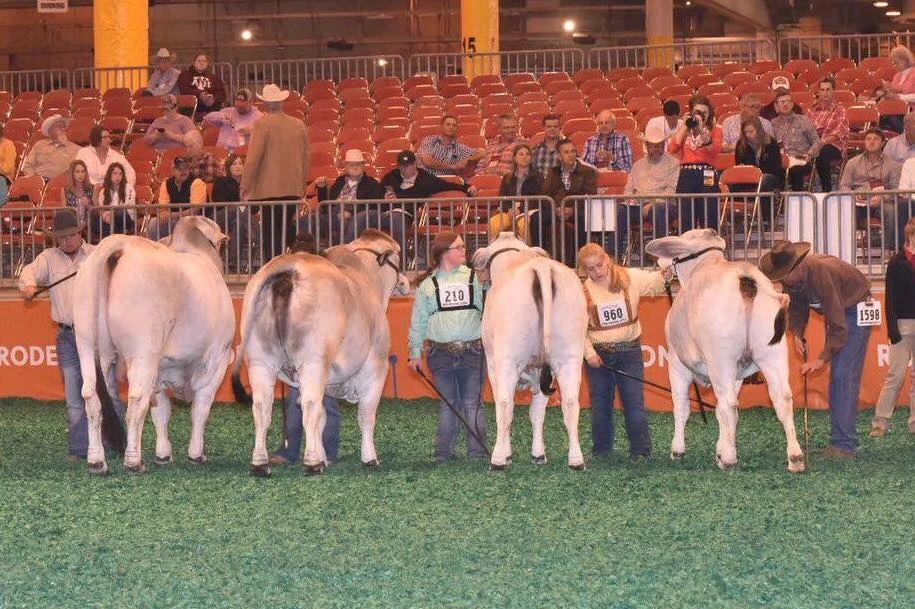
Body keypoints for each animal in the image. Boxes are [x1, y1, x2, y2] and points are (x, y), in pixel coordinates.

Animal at [73, 216, 235, 475]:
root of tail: (121, 244)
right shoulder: (218, 358)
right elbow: (201, 408)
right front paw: (196, 453)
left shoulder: (162, 368)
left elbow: (161, 411)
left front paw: (163, 454)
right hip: (143, 351)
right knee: (136, 402)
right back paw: (133, 461)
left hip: (87, 343)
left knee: (91, 398)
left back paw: (97, 461)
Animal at [231, 229, 410, 476]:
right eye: (399, 256)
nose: (405, 282)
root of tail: (290, 264)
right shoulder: (376, 367)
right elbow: (366, 415)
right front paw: (369, 458)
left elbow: (323, 419)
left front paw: (325, 456)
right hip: (314, 360)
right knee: (310, 406)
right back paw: (312, 463)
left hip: (260, 359)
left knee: (261, 407)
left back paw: (260, 464)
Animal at [471, 232, 588, 470]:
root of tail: (541, 267)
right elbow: (537, 413)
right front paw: (539, 454)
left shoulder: (493, 364)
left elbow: (507, 407)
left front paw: (507, 454)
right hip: (570, 356)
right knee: (571, 404)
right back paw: (576, 460)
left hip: (508, 359)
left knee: (505, 405)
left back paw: (497, 460)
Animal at [645, 229, 805, 473]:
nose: (660, 264)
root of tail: (745, 277)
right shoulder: (737, 373)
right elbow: (724, 413)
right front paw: (720, 449)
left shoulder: (676, 362)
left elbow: (682, 406)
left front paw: (678, 450)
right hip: (773, 353)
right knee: (782, 398)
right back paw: (795, 457)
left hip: (721, 358)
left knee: (729, 401)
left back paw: (730, 459)